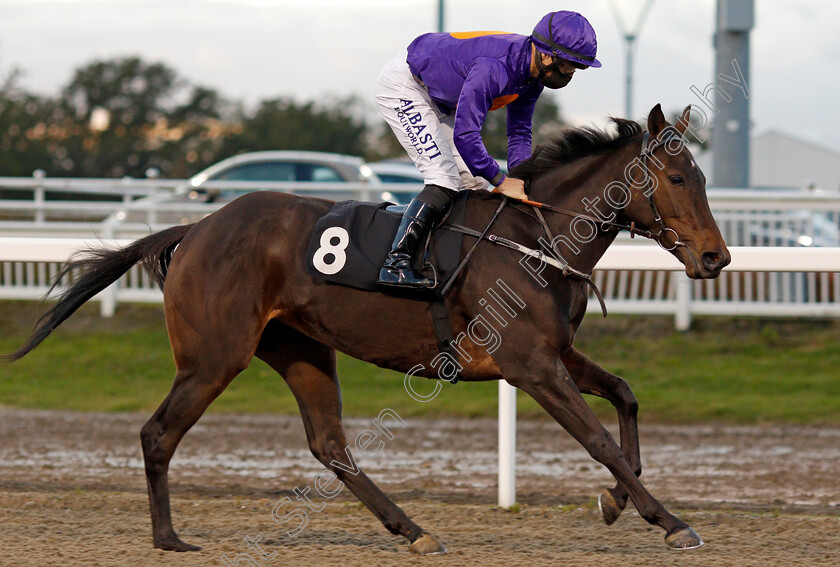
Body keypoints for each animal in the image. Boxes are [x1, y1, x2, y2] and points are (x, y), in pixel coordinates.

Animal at [3, 105, 728, 556]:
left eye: (702, 175)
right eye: (676, 176)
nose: (716, 257)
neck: (534, 236)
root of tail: (195, 227)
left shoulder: (555, 353)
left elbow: (626, 396)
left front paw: (616, 501)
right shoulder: (531, 364)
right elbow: (599, 439)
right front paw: (670, 520)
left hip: (300, 348)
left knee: (330, 444)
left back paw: (413, 529)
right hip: (213, 358)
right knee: (159, 433)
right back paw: (169, 537)